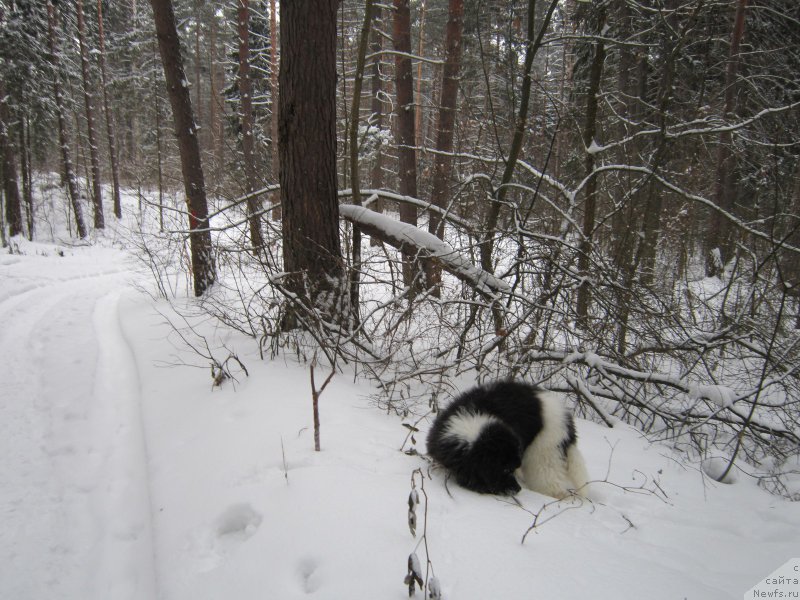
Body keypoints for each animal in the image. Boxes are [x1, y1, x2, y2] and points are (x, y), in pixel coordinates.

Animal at [428, 382, 592, 500]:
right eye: (504, 469)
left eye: (509, 468)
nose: (517, 489)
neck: (472, 418)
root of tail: (566, 417)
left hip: (544, 448)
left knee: (546, 475)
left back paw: (558, 495)